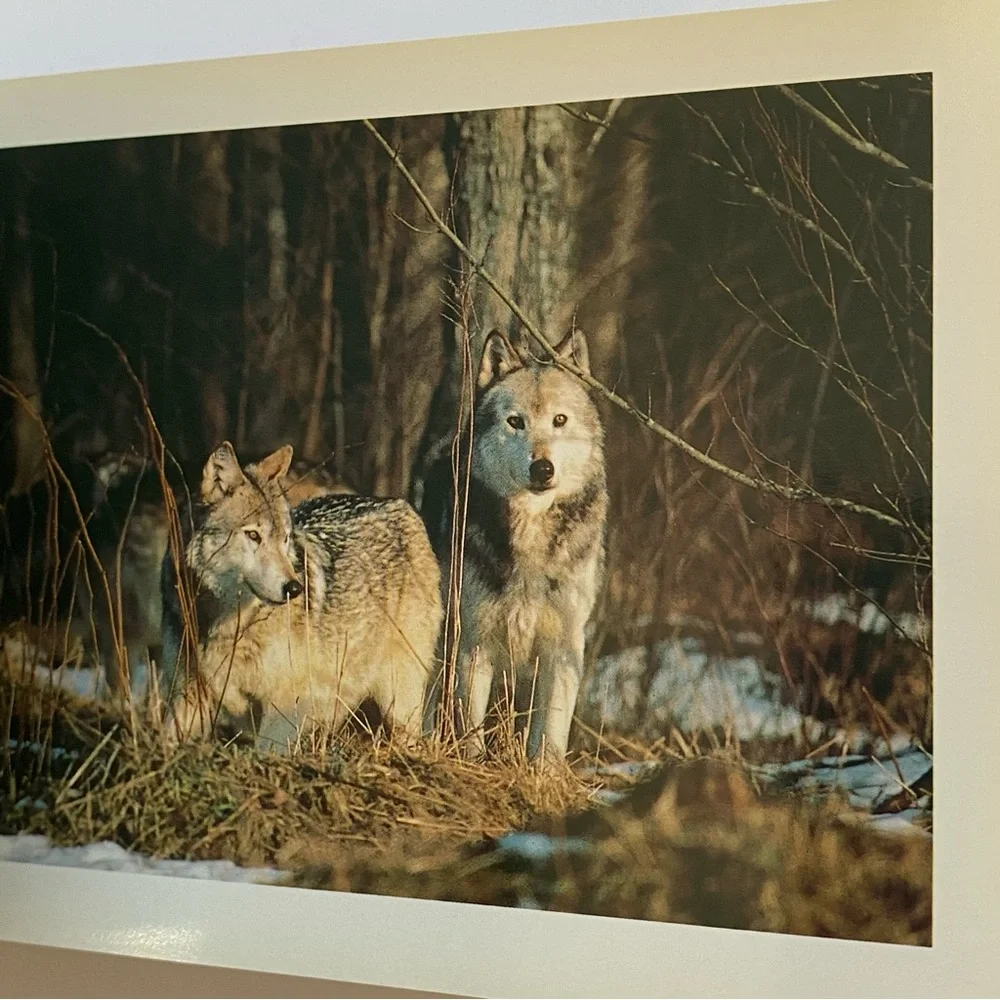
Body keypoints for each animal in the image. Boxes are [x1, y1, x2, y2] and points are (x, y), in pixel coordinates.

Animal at [160, 442, 442, 753]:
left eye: (284, 538)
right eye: (253, 535)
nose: (294, 588)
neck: (224, 625)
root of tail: (398, 504)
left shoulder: (283, 708)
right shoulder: (188, 694)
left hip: (399, 701)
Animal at [425, 327, 608, 762]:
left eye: (559, 420)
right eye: (515, 422)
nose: (542, 468)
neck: (531, 536)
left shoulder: (564, 647)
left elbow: (550, 734)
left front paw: (546, 773)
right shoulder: (475, 643)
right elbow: (470, 727)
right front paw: (472, 764)